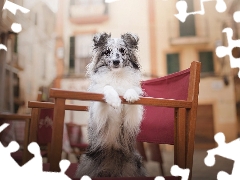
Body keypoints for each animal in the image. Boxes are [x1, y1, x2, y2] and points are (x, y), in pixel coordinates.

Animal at [75, 32, 146, 177]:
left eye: (122, 51)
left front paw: (130, 96)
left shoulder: (132, 118)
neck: (116, 76)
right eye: (107, 52)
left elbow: (132, 91)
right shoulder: (99, 115)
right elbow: (107, 87)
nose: (116, 62)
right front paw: (114, 100)